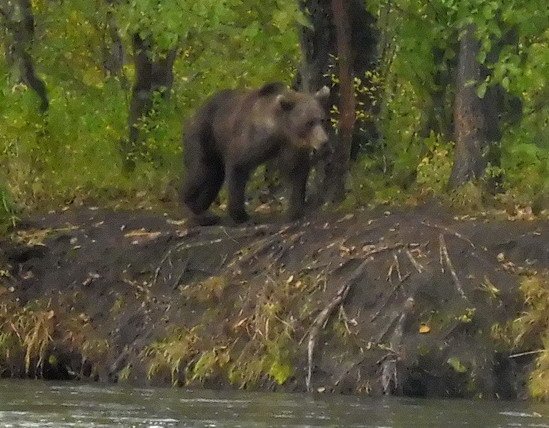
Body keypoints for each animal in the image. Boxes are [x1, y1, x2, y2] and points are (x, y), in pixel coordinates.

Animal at [180, 81, 328, 226]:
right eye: (309, 122)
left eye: (321, 119)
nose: (324, 141)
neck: (280, 131)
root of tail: (193, 115)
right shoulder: (250, 141)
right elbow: (238, 168)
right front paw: (241, 216)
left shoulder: (292, 148)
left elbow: (297, 171)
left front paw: (296, 210)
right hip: (203, 136)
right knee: (201, 172)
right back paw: (196, 211)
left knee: (214, 178)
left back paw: (204, 211)